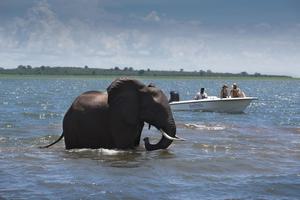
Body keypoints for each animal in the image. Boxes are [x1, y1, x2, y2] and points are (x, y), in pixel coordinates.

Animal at [41, 77, 183, 151]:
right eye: (155, 109)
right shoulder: (118, 118)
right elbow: (125, 145)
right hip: (70, 126)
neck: (139, 90)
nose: (146, 139)